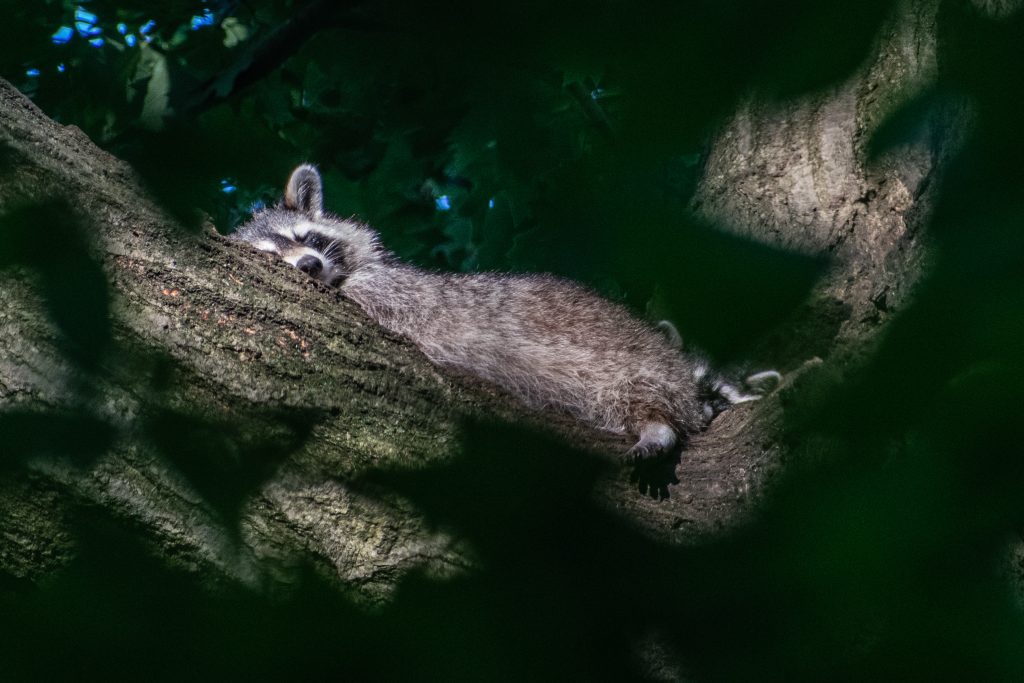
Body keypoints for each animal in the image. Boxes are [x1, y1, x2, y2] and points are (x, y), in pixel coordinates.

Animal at [231, 164, 780, 459]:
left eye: (307, 237)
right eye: (271, 255)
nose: (308, 266)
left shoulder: (393, 291)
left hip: (625, 359)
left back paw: (656, 421)